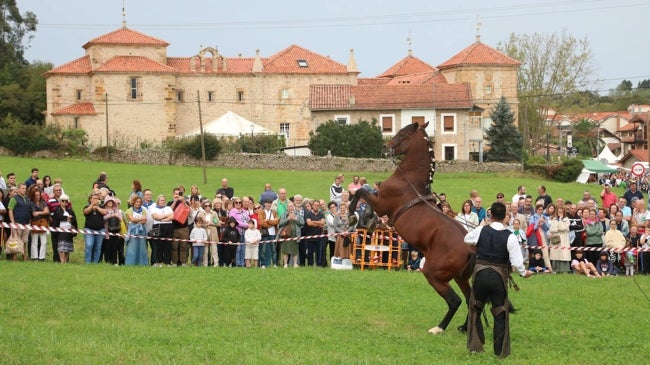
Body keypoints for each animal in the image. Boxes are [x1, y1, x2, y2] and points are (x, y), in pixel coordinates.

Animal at [352, 121, 474, 332]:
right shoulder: (381, 203)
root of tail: (470, 247)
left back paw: (439, 328)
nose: (385, 147)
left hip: (434, 274)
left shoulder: (381, 203)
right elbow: (365, 196)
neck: (408, 179)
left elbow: (361, 192)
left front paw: (354, 213)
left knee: (455, 300)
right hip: (460, 277)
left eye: (402, 134)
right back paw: (465, 328)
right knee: (470, 300)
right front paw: (369, 220)